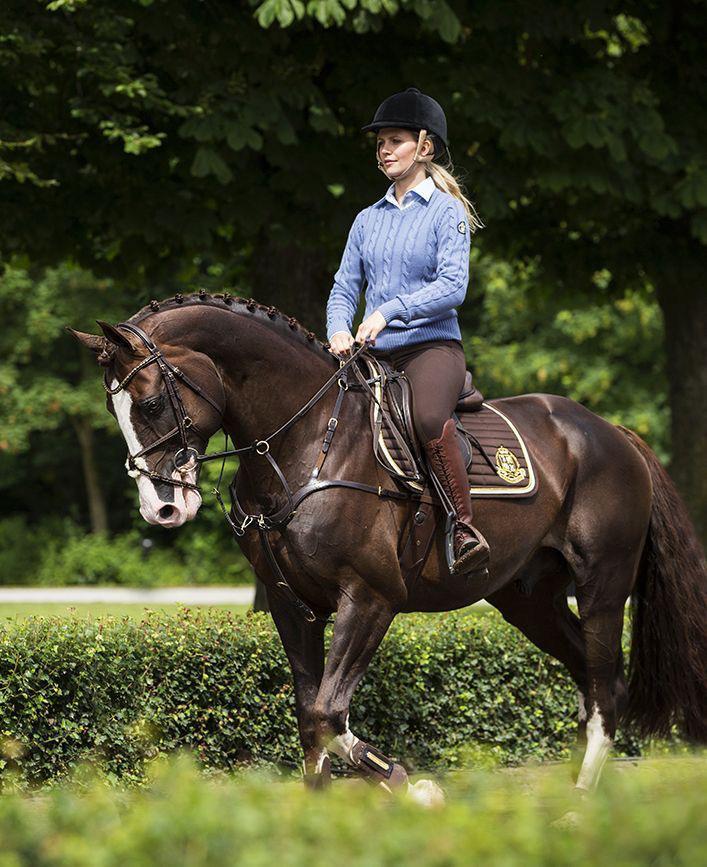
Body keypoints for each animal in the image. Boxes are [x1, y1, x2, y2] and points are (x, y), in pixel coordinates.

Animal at [69, 292, 706, 799]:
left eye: (151, 403)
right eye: (113, 409)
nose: (161, 508)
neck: (306, 443)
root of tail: (611, 432)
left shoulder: (372, 597)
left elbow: (328, 714)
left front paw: (411, 784)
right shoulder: (291, 606)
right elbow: (310, 717)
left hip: (603, 589)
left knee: (606, 690)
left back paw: (578, 802)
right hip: (529, 601)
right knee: (588, 682)